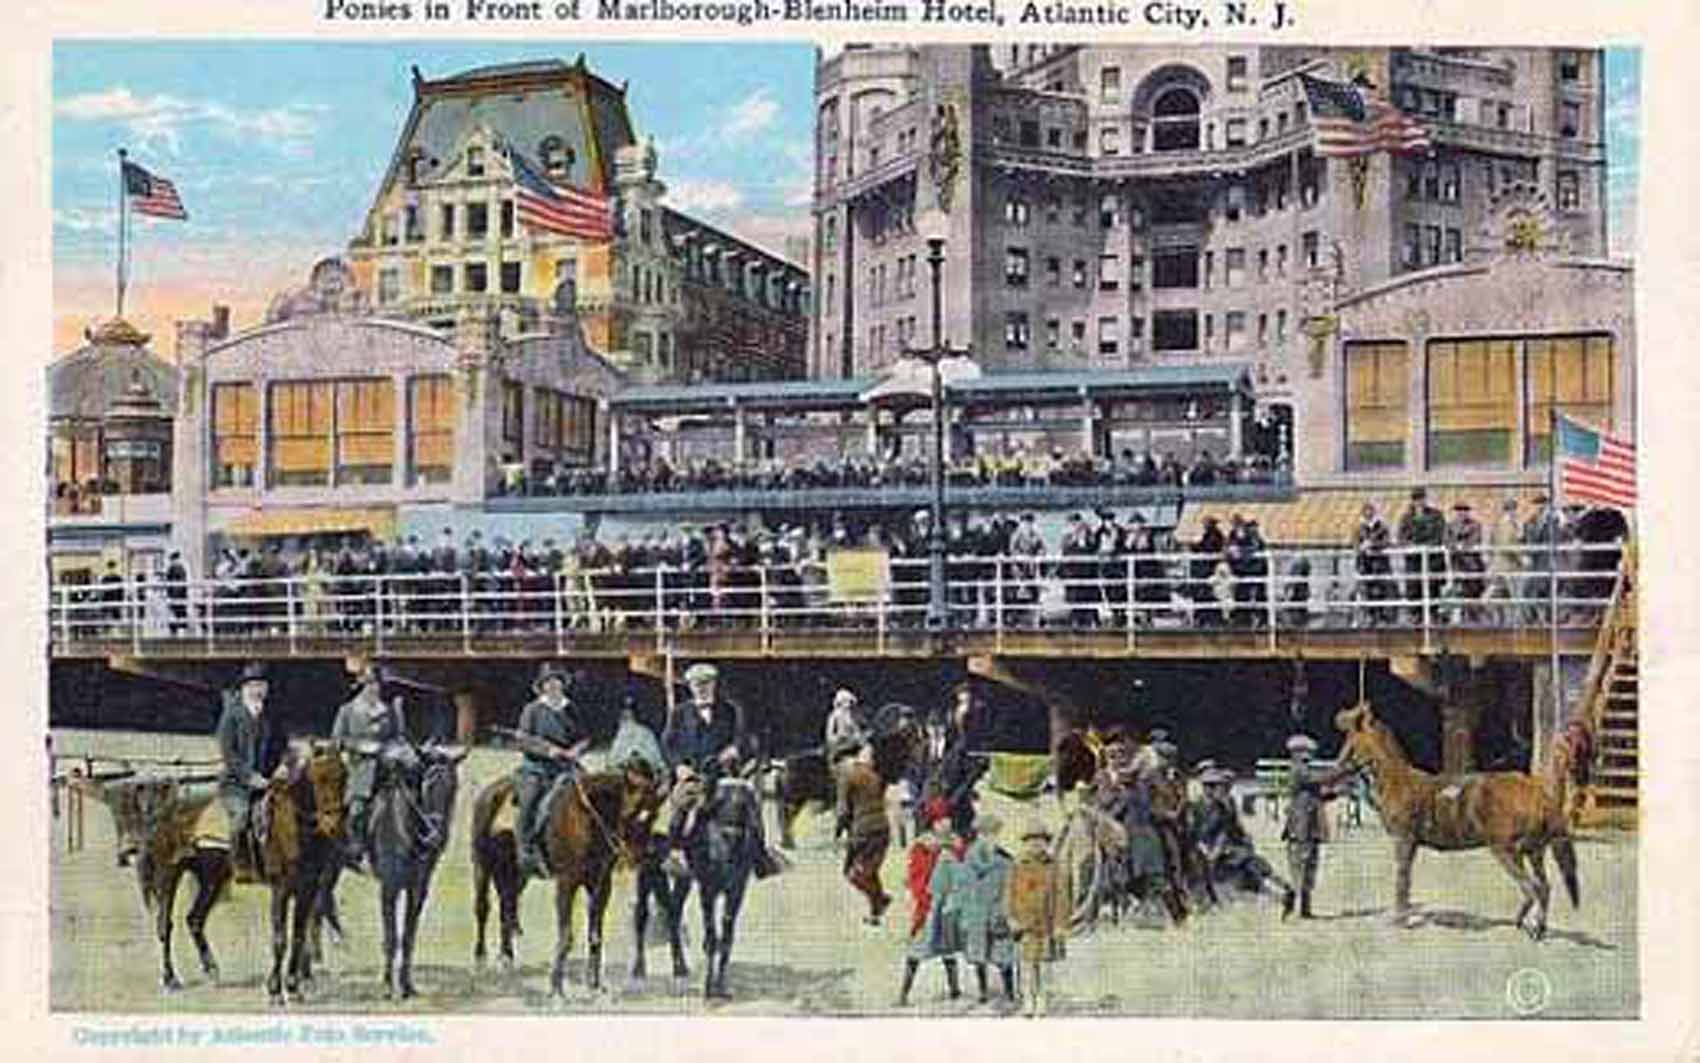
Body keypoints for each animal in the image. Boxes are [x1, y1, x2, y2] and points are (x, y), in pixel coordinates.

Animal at [479, 761, 669, 993]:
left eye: (655, 815)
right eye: (629, 812)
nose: (638, 857)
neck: (588, 817)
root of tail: (491, 790)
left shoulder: (600, 885)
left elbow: (595, 935)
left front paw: (595, 984)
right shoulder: (566, 883)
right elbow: (566, 935)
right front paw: (557, 988)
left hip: (517, 873)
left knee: (507, 905)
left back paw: (506, 958)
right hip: (482, 865)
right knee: (483, 908)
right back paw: (481, 959)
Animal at [1332, 704, 1584, 938]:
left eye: (1350, 736)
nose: (1338, 765)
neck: (1396, 780)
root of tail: (1537, 792)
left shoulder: (1404, 841)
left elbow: (1402, 880)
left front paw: (1400, 919)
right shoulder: (1410, 844)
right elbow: (1405, 880)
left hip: (1507, 851)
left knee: (1532, 888)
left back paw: (1529, 926)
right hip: (1534, 852)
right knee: (1544, 887)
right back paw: (1534, 926)